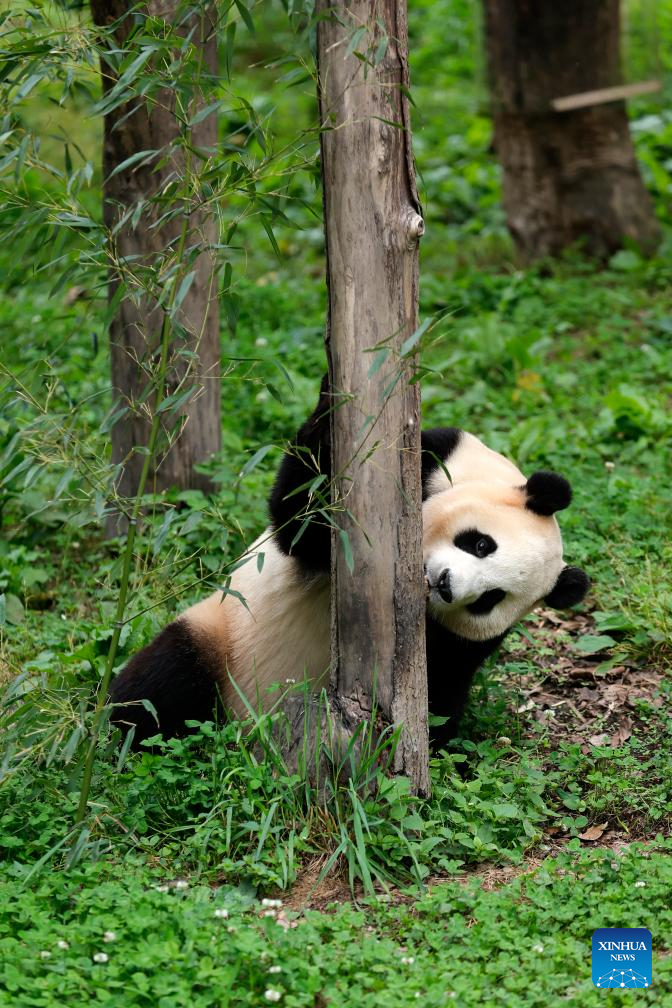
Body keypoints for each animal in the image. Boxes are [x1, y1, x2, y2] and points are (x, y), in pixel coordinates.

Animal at [111, 381, 588, 753]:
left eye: (490, 599)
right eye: (481, 543)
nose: (446, 585)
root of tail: (249, 726)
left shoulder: (461, 641)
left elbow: (443, 680)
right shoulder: (434, 457)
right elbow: (303, 520)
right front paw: (333, 403)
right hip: (222, 634)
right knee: (162, 681)